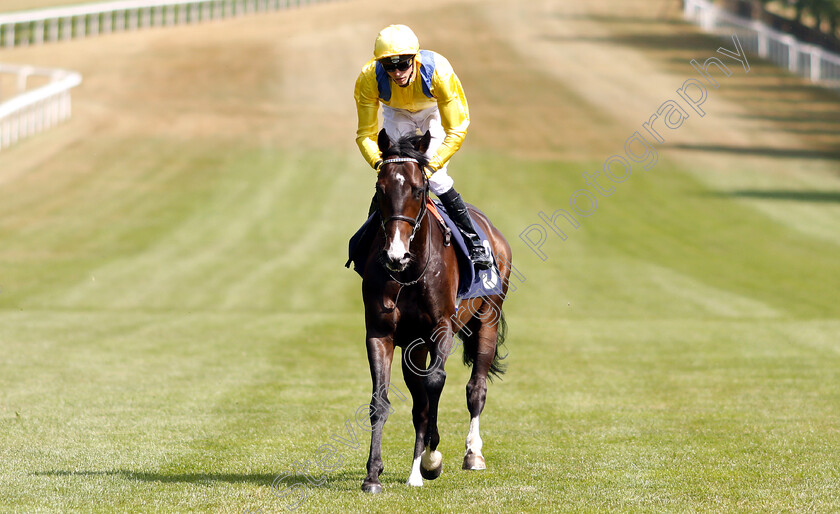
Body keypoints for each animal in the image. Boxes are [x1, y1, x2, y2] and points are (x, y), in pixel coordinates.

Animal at [358, 128, 508, 492]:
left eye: (417, 189)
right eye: (380, 190)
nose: (395, 254)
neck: (409, 273)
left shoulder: (441, 328)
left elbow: (436, 382)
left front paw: (429, 460)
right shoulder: (381, 333)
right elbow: (382, 400)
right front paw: (373, 474)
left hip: (489, 319)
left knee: (475, 389)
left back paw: (472, 454)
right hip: (414, 347)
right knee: (419, 402)